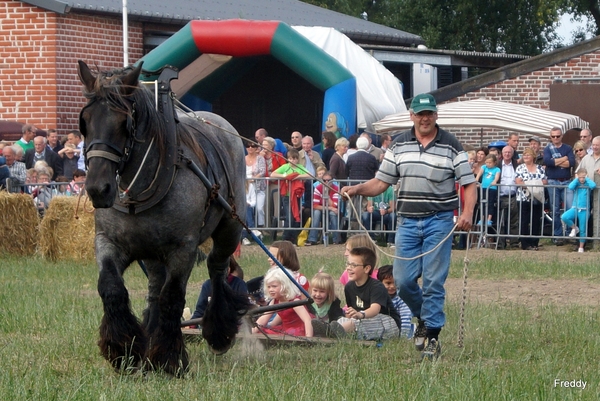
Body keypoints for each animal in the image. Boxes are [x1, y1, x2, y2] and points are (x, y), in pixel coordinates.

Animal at [78, 60, 251, 376]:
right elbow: (111, 287)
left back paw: (218, 330)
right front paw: (124, 348)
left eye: (124, 123)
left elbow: (172, 297)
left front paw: (167, 357)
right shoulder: (108, 242)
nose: (98, 188)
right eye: (85, 121)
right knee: (155, 286)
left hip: (230, 227)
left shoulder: (183, 249)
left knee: (217, 268)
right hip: (152, 250)